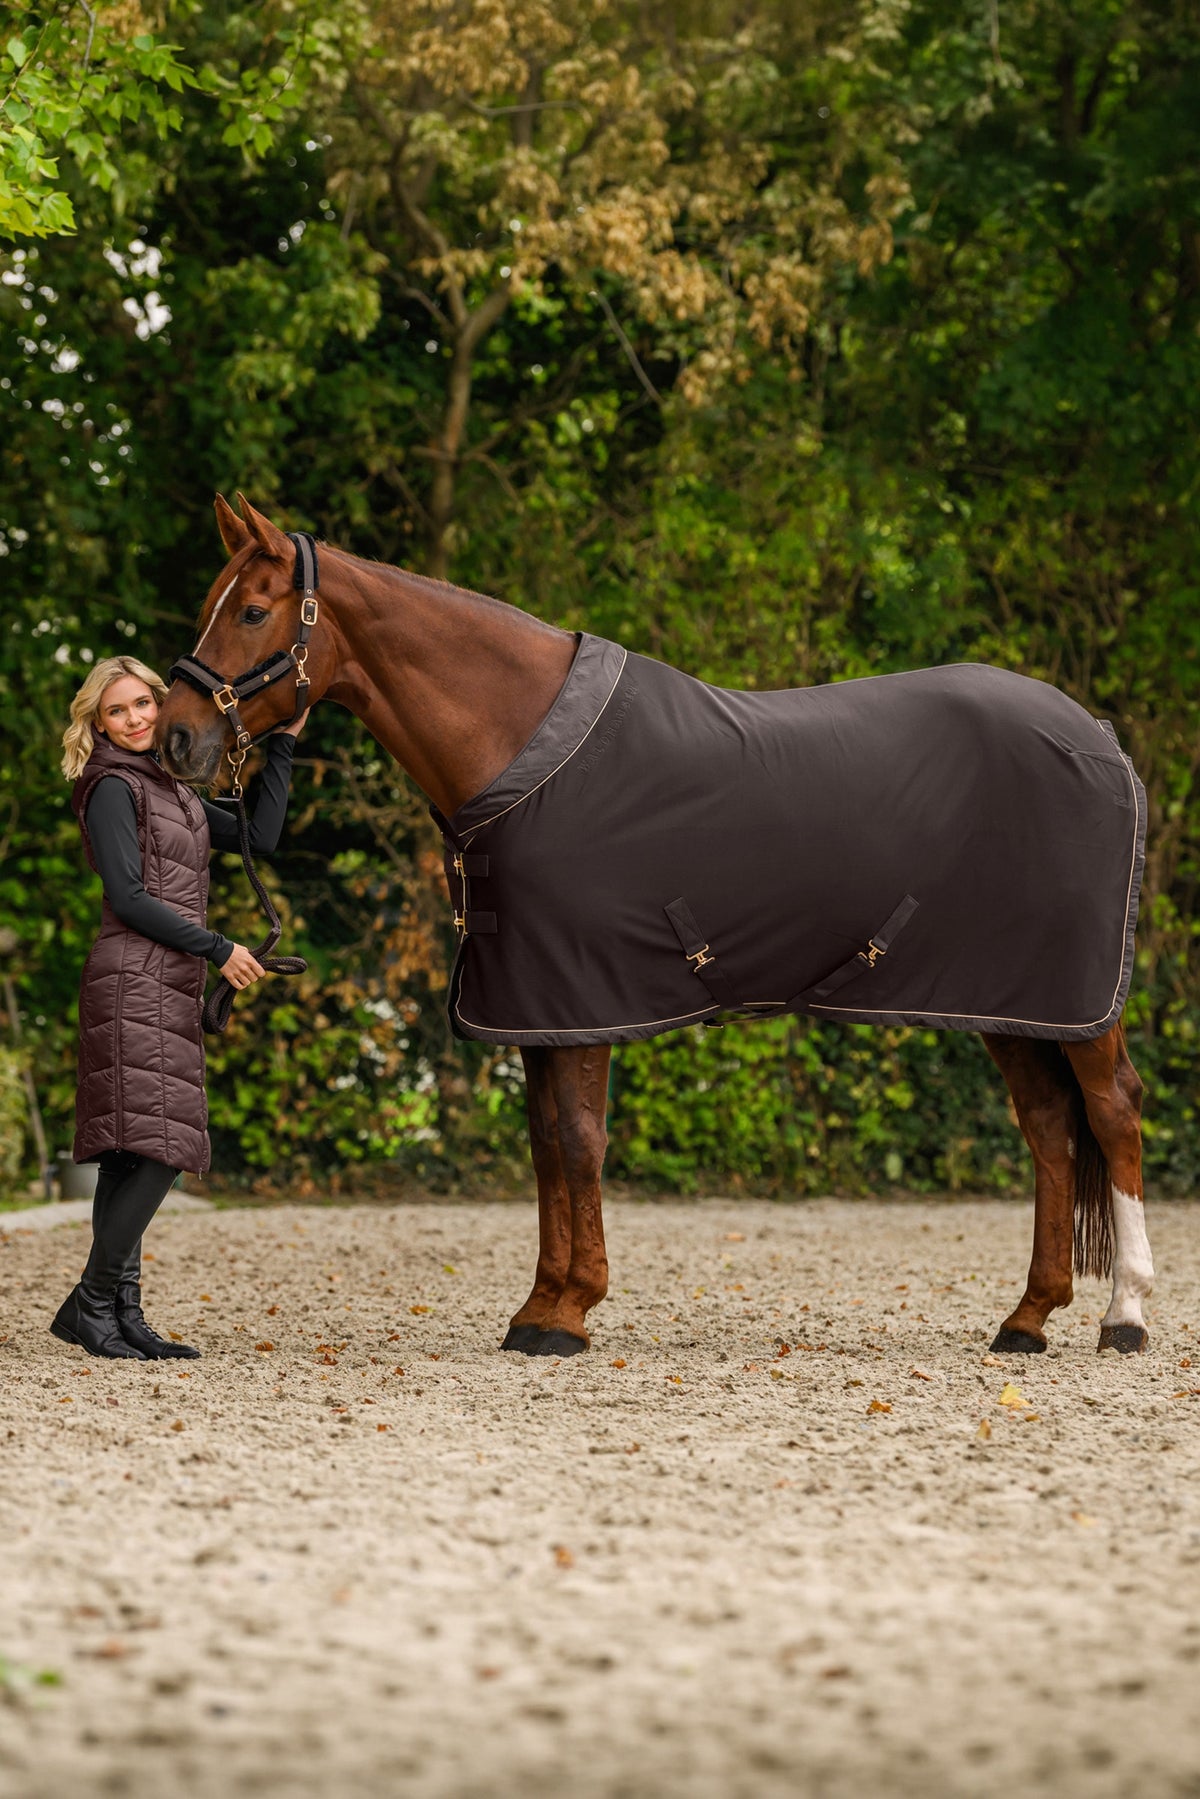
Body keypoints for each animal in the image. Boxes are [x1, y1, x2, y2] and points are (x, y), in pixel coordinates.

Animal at [156, 494, 1154, 1360]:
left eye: (252, 611)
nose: (176, 739)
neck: (521, 742)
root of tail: (1099, 737)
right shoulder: (535, 1004)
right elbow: (545, 1145)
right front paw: (539, 1305)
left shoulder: (584, 992)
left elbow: (579, 1140)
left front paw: (570, 1311)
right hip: (1011, 1003)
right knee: (1049, 1128)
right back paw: (1028, 1317)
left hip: (1077, 1004)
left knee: (1112, 1112)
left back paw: (1126, 1316)